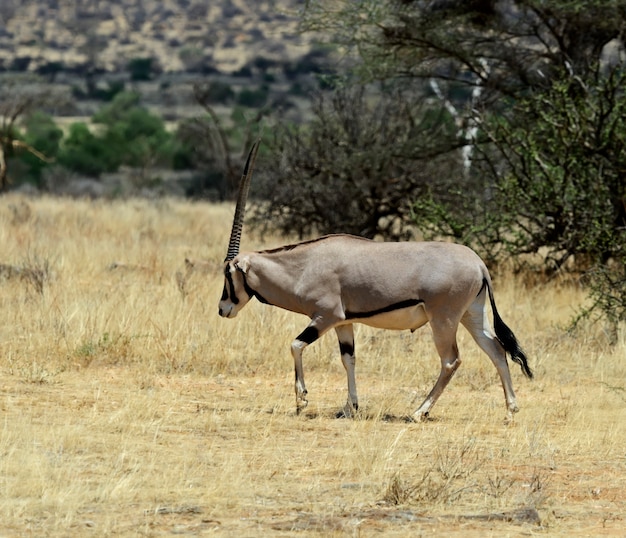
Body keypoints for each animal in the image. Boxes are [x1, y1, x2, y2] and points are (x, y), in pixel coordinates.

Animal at [217, 140, 528, 420]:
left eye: (228, 273)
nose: (222, 309)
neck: (304, 265)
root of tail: (478, 263)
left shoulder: (326, 316)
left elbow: (295, 345)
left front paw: (302, 401)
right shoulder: (344, 323)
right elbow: (349, 359)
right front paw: (349, 408)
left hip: (444, 319)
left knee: (451, 360)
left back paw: (420, 412)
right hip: (472, 315)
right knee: (496, 350)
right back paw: (510, 410)